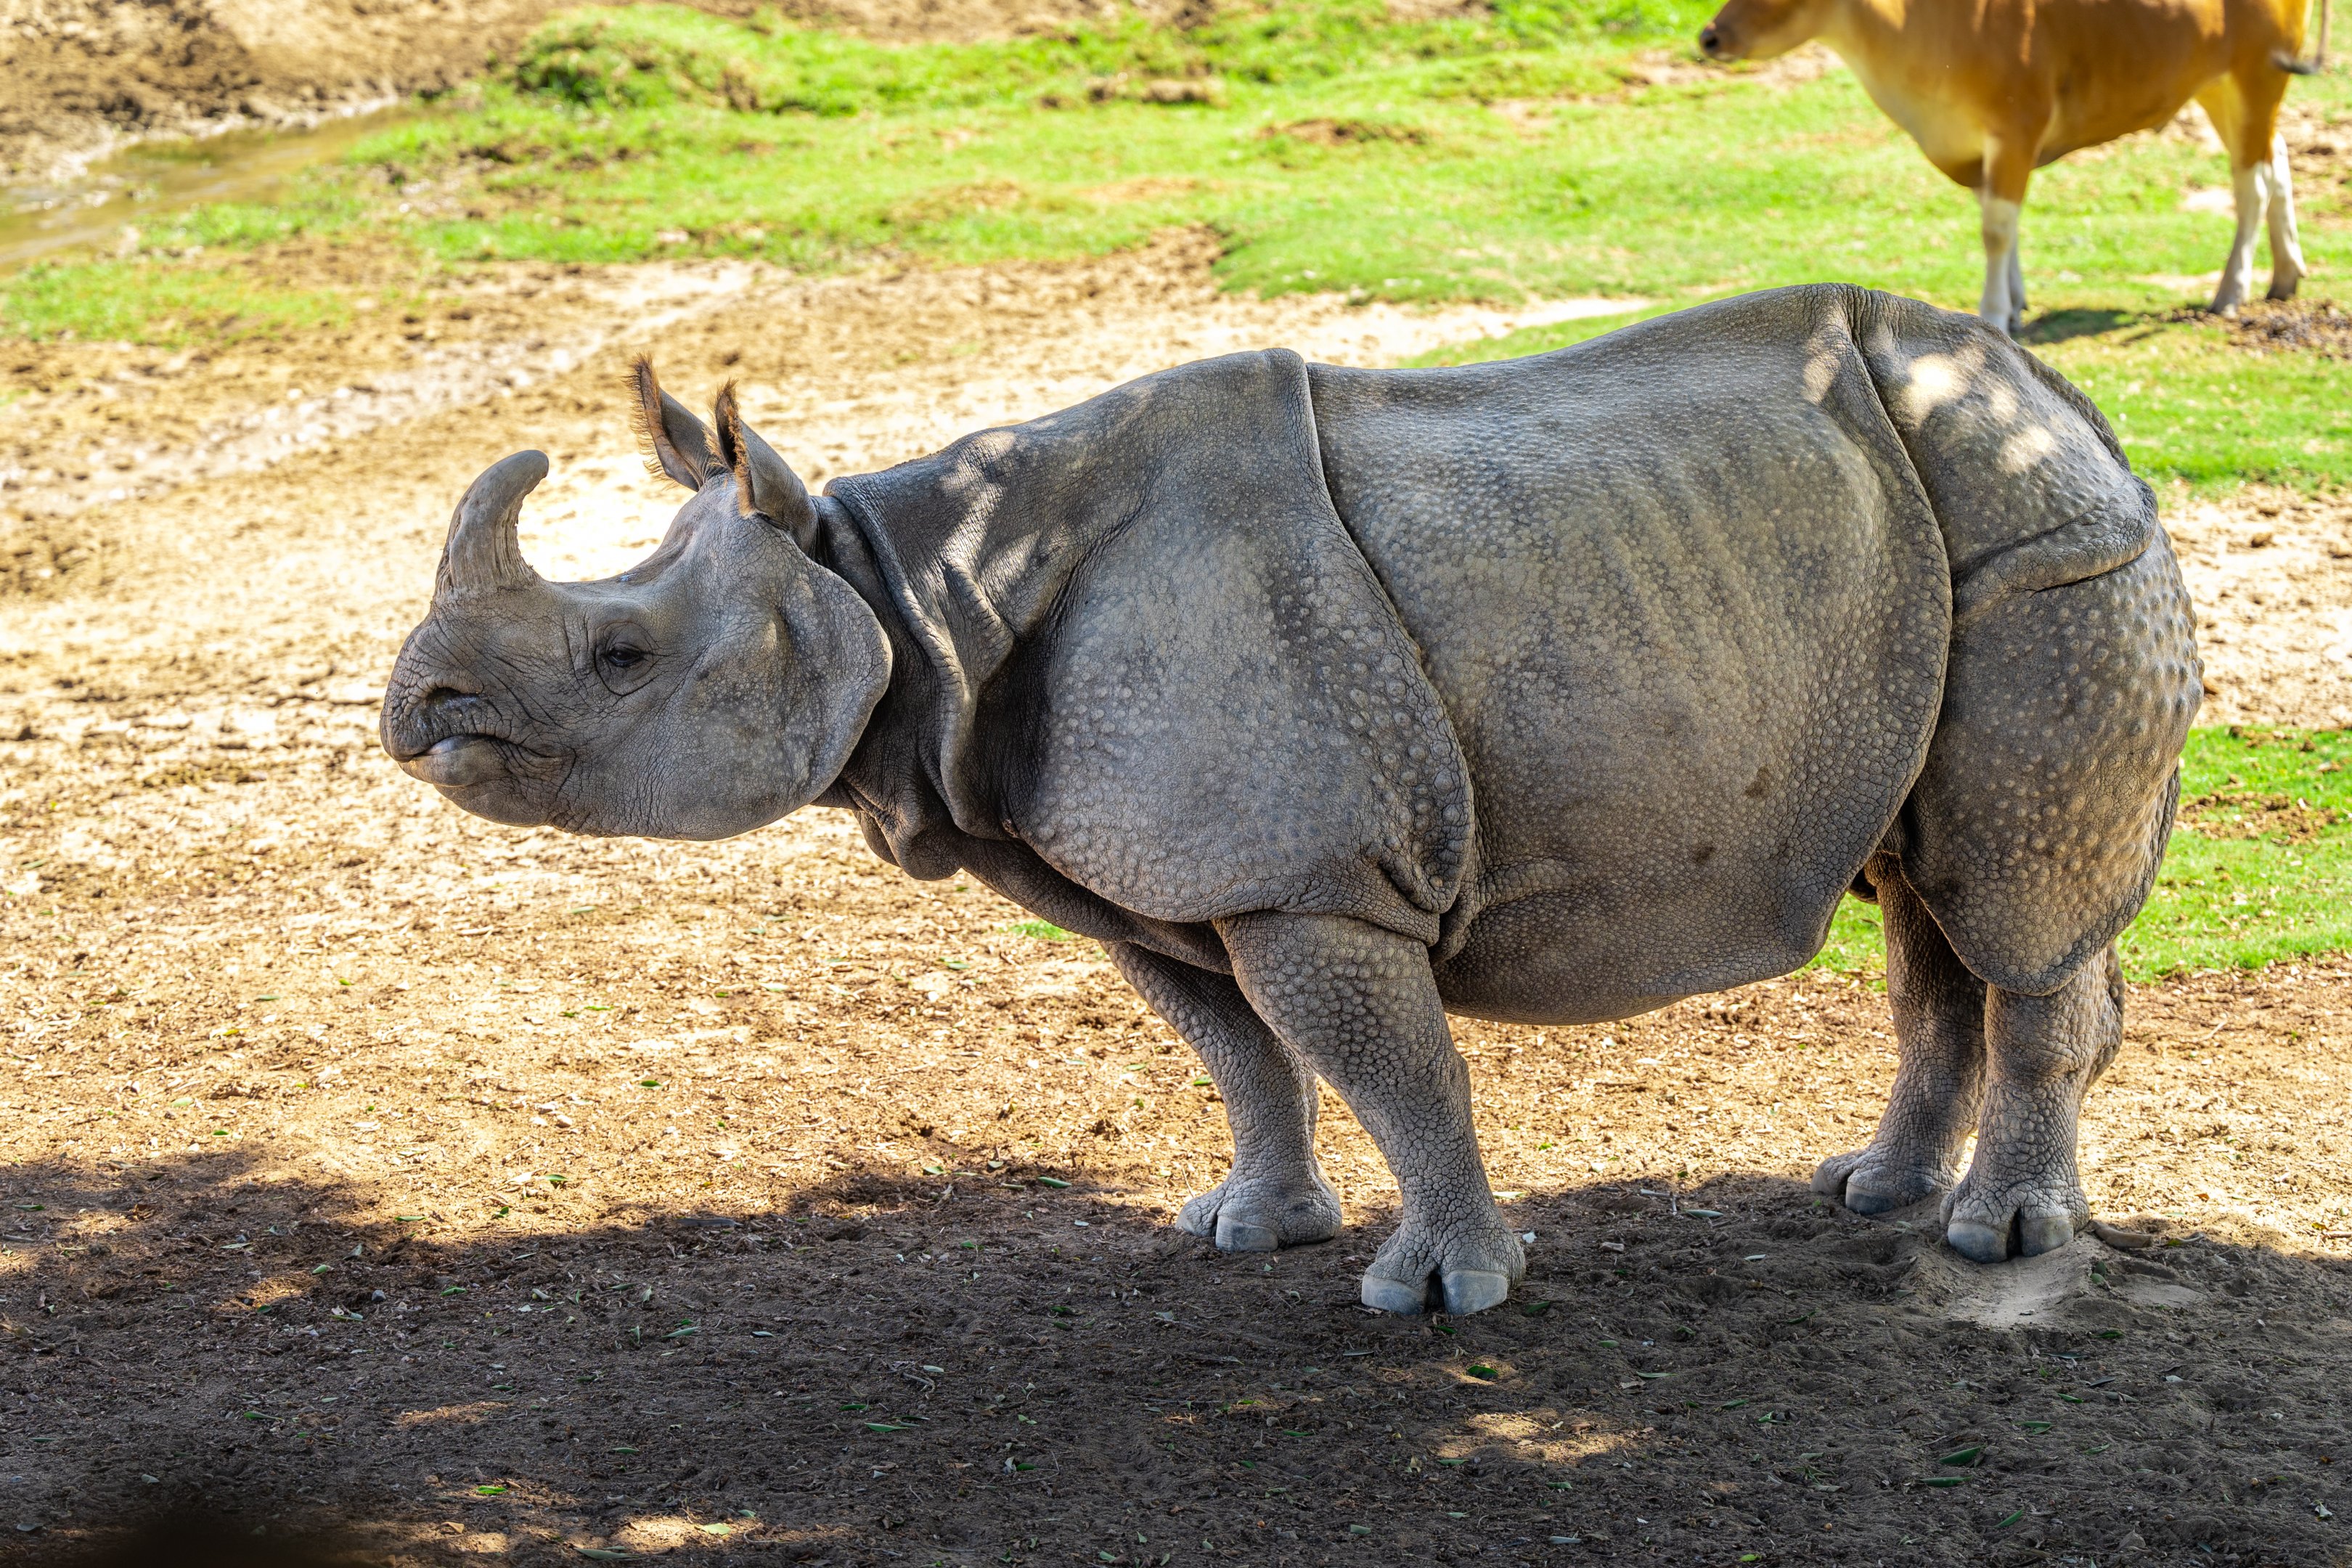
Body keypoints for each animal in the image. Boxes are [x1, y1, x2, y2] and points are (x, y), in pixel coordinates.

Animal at [381, 284, 2198, 1316]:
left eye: (619, 657)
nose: (415, 713)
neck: (905, 594)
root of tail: (2061, 397)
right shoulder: (1152, 877)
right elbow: (1239, 1058)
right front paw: (1249, 1231)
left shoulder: (1306, 873)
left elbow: (1395, 1070)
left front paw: (1445, 1296)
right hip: (1939, 541)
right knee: (1929, 897)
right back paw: (1874, 1197)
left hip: (2038, 546)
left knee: (2008, 906)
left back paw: (1999, 1246)